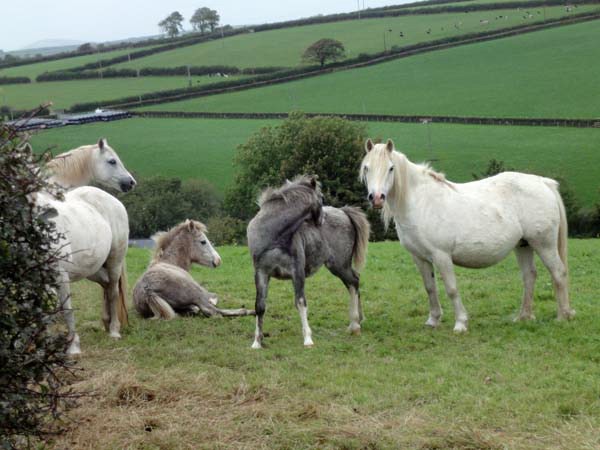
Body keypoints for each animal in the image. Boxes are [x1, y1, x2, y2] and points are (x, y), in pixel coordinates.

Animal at [358, 139, 576, 332]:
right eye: (367, 168)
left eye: (391, 168)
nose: (376, 198)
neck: (421, 203)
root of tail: (543, 182)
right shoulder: (419, 258)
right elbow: (430, 287)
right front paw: (433, 320)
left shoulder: (441, 256)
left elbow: (451, 288)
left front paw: (461, 323)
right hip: (523, 245)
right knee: (529, 276)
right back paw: (523, 316)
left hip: (544, 244)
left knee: (558, 273)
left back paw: (563, 316)